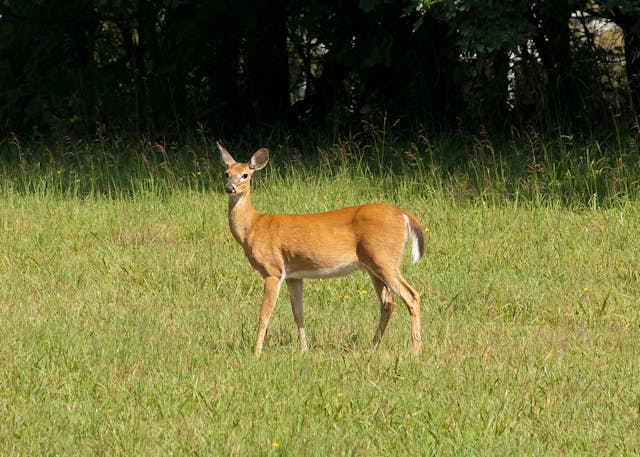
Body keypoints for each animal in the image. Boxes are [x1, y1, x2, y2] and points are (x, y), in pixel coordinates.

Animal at [218, 142, 425, 357]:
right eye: (226, 173)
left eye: (245, 175)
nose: (229, 188)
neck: (253, 226)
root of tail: (405, 215)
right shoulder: (294, 275)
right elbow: (298, 314)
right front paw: (304, 350)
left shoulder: (272, 270)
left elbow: (264, 314)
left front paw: (256, 353)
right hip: (373, 265)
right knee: (387, 302)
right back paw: (373, 345)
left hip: (384, 258)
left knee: (411, 296)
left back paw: (415, 350)